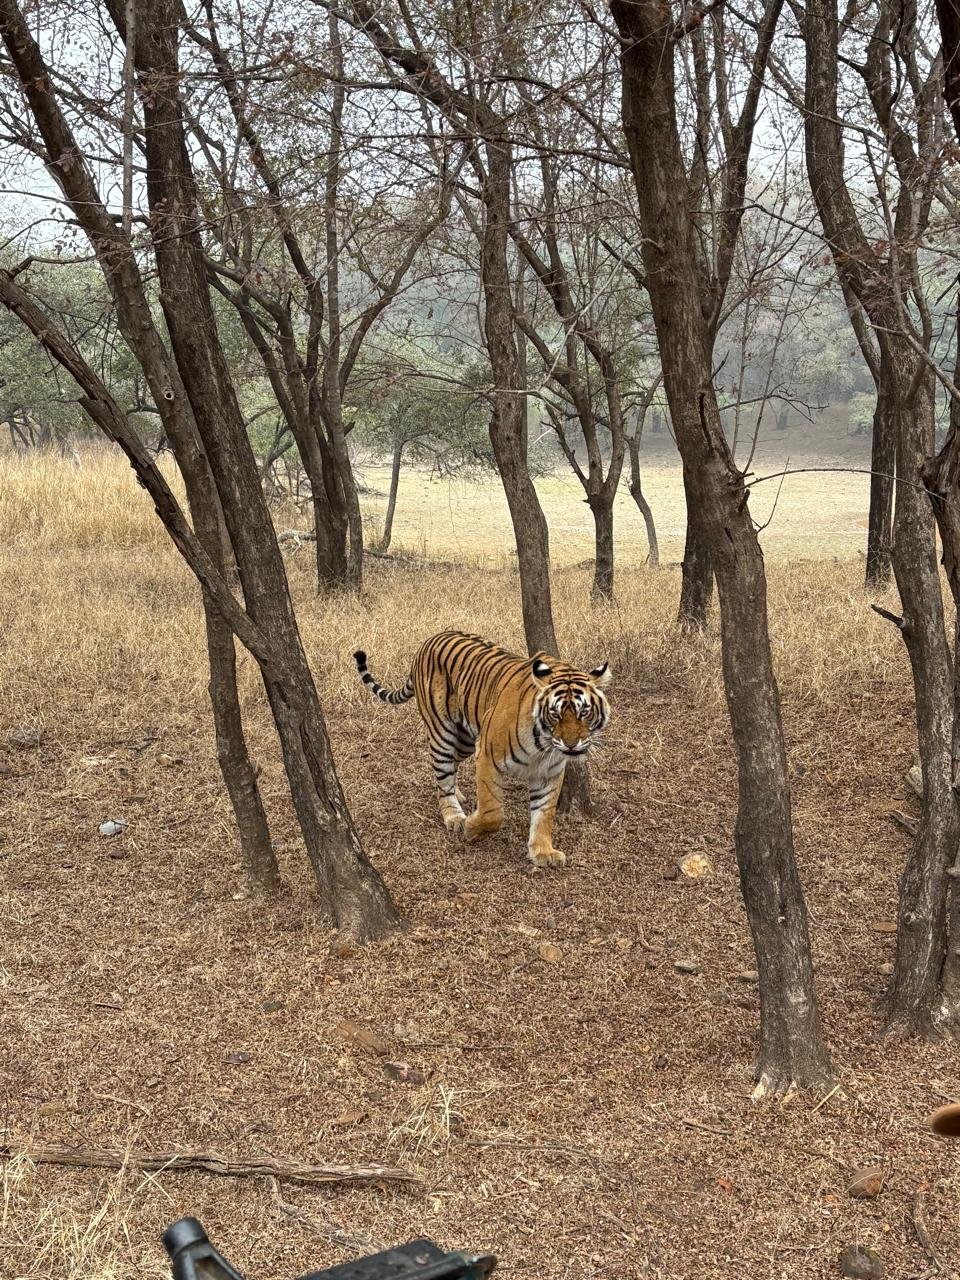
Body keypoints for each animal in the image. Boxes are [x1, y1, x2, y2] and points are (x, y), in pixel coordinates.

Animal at [353, 631, 611, 868]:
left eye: (584, 712)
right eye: (555, 714)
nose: (571, 744)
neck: (544, 746)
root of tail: (429, 640)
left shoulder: (549, 772)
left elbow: (544, 814)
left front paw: (543, 851)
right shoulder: (488, 756)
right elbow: (492, 810)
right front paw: (471, 828)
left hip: (465, 740)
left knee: (449, 768)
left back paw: (457, 794)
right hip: (442, 733)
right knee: (442, 773)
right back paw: (454, 816)